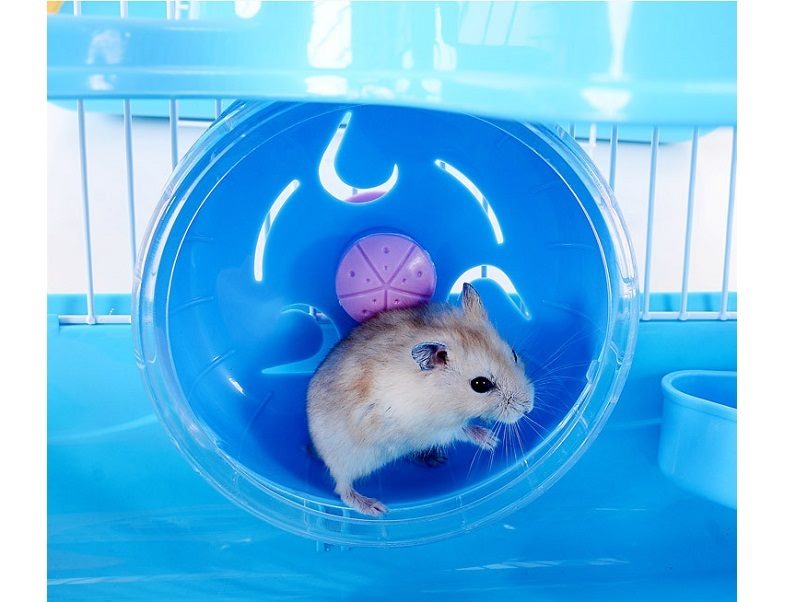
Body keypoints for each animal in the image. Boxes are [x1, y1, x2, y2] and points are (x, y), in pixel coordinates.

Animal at [306, 283, 534, 516]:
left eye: (514, 354)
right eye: (480, 384)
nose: (528, 408)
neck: (445, 397)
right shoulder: (435, 428)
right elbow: (463, 429)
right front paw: (491, 440)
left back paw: (435, 459)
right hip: (346, 459)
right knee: (342, 489)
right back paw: (376, 509)